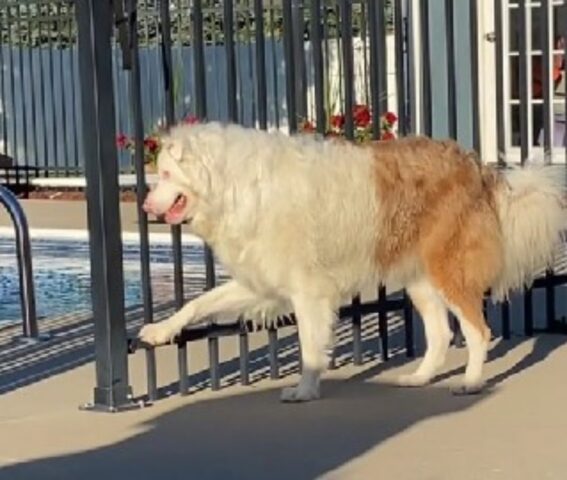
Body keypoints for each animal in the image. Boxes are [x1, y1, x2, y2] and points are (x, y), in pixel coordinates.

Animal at [140, 121, 564, 402]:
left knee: (477, 331)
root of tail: (475, 165)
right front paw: (160, 331)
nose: (144, 206)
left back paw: (471, 383)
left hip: (448, 270)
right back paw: (419, 378)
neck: (234, 186)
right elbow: (199, 302)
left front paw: (304, 389)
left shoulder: (308, 291)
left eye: (166, 173)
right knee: (441, 334)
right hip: (421, 279)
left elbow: (310, 347)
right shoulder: (262, 280)